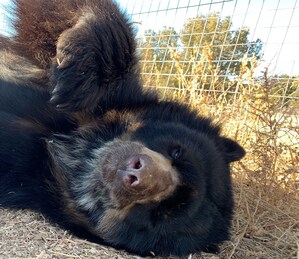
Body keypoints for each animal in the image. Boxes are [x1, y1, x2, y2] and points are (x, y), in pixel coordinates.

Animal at [0, 0, 246, 256]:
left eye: (164, 210)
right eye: (177, 152)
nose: (135, 171)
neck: (77, 150)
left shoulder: (27, 170)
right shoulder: (107, 103)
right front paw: (78, 71)